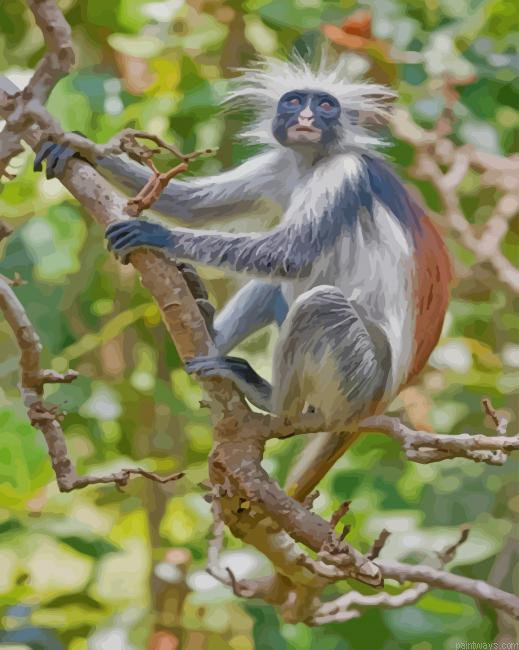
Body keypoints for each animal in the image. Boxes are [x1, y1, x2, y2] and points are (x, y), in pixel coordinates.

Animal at [34, 56, 451, 499]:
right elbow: (190, 204)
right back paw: (207, 326)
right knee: (272, 288)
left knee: (319, 302)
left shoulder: (344, 171)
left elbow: (288, 256)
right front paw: (81, 146)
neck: (312, 162)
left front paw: (157, 234)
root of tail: (383, 400)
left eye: (325, 106)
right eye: (294, 101)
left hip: (361, 379)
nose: (306, 117)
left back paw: (272, 401)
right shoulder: (280, 164)